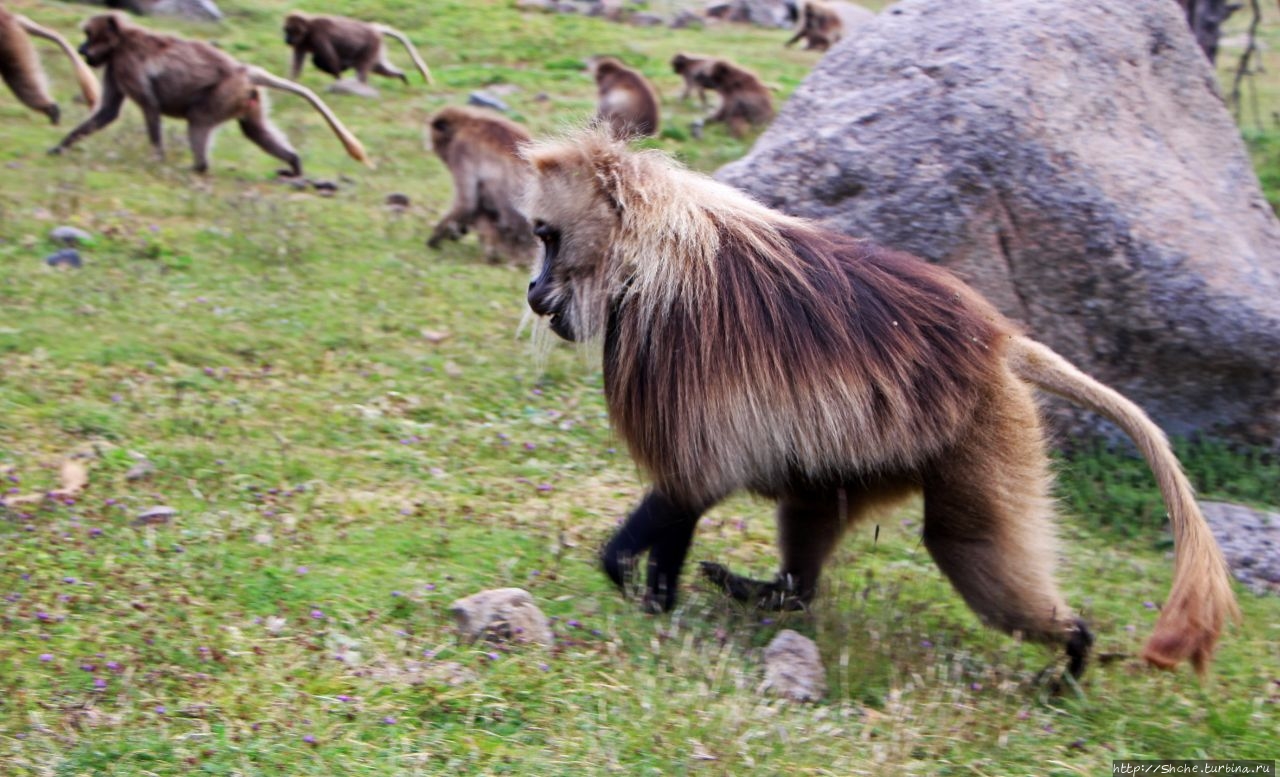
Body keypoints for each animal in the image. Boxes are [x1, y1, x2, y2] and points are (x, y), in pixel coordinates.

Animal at [51, 14, 371, 175]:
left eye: (89, 35)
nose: (81, 49)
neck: (121, 41)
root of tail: (243, 70)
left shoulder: (125, 63)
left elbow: (149, 107)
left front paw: (157, 159)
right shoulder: (114, 66)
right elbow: (107, 112)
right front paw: (59, 147)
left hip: (224, 93)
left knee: (198, 120)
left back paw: (199, 168)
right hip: (245, 98)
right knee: (254, 131)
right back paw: (294, 164)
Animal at [282, 13, 432, 85]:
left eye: (289, 31)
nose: (286, 39)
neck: (308, 30)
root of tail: (374, 28)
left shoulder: (319, 35)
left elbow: (330, 59)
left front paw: (339, 79)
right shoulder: (301, 43)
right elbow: (298, 63)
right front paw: (292, 83)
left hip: (372, 43)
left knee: (362, 67)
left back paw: (361, 85)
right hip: (376, 46)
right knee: (378, 67)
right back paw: (401, 76)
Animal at [522, 130, 1239, 675]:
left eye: (550, 239)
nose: (532, 291)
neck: (653, 248)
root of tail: (1000, 343)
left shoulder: (676, 341)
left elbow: (691, 482)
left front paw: (629, 576)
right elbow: (692, 494)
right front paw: (658, 598)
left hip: (984, 429)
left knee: (965, 541)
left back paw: (1074, 653)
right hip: (885, 448)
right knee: (813, 513)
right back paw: (774, 594)